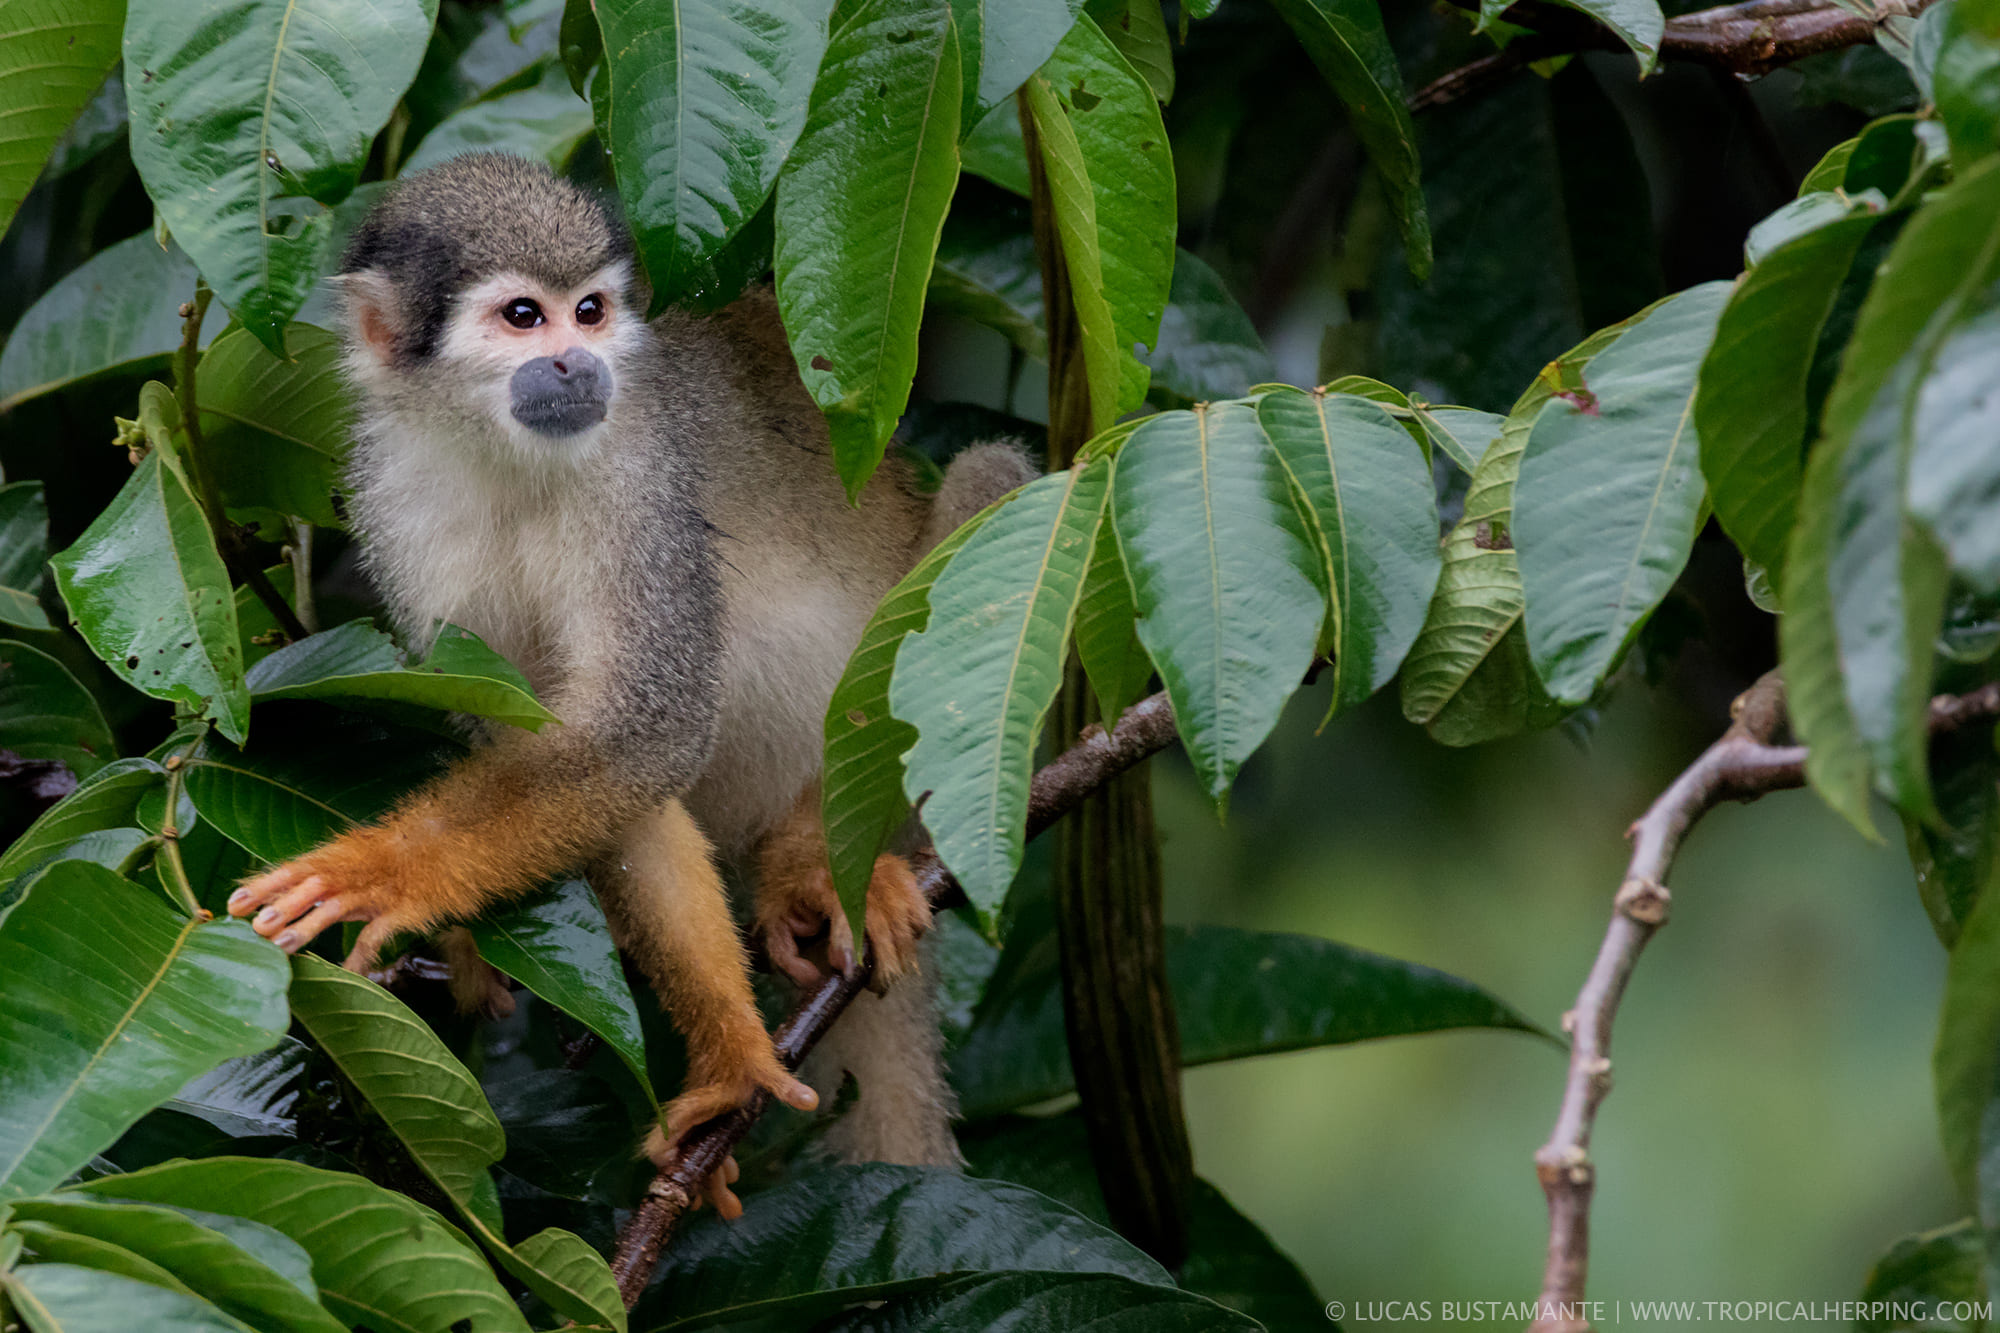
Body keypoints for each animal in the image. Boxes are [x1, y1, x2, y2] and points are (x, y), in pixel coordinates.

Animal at [230, 153, 1032, 1184]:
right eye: (524, 316)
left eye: (592, 309)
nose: (581, 361)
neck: (503, 452)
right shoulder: (398, 498)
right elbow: (577, 751)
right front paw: (731, 1056)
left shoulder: (636, 478)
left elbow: (646, 723)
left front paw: (383, 870)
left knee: (991, 489)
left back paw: (825, 855)